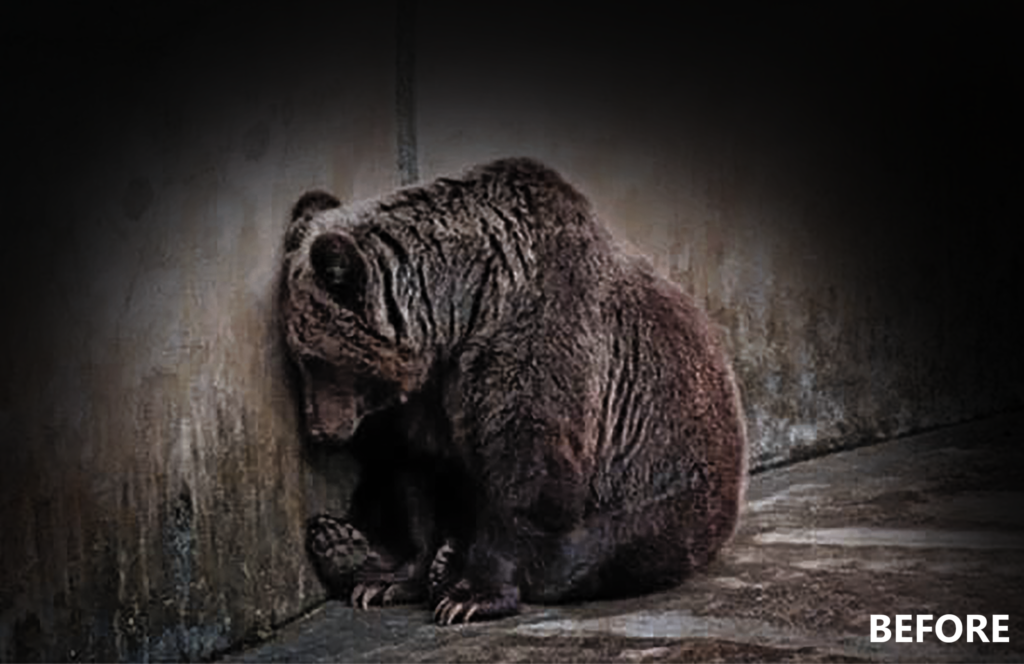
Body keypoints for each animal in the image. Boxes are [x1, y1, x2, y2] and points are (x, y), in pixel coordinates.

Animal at [280, 158, 747, 624]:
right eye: (299, 358)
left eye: (314, 359)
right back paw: (343, 544)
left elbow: (526, 474)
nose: (321, 430)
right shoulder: (430, 394)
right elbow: (417, 472)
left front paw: (468, 596)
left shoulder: (537, 343)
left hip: (661, 500)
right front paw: (389, 581)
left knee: (588, 555)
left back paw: (440, 562)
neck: (462, 312)